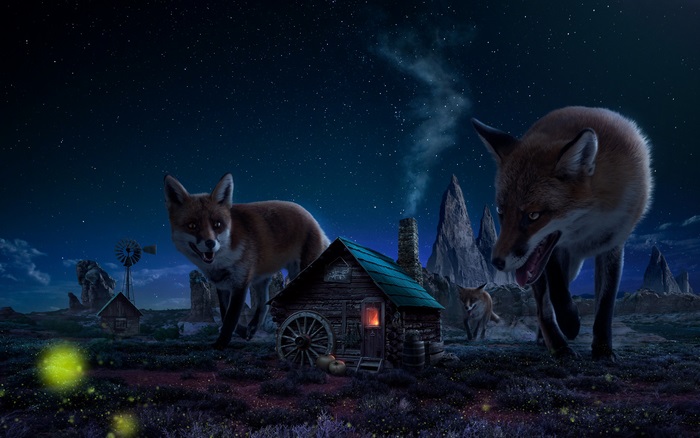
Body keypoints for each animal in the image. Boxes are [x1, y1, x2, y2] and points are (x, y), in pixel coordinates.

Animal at [164, 173, 329, 349]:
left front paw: (220, 344)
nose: (210, 243)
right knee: (263, 305)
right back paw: (253, 328)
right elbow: (225, 314)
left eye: (217, 224)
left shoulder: (240, 283)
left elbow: (230, 319)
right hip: (261, 281)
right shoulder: (222, 285)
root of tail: (313, 219)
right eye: (192, 225)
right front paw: (243, 332)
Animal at [472, 106, 652, 361]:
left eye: (533, 215)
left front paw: (603, 350)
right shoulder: (554, 251)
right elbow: (558, 294)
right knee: (543, 308)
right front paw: (569, 323)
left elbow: (605, 304)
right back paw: (557, 345)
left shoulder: (613, 245)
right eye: (500, 212)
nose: (496, 262)